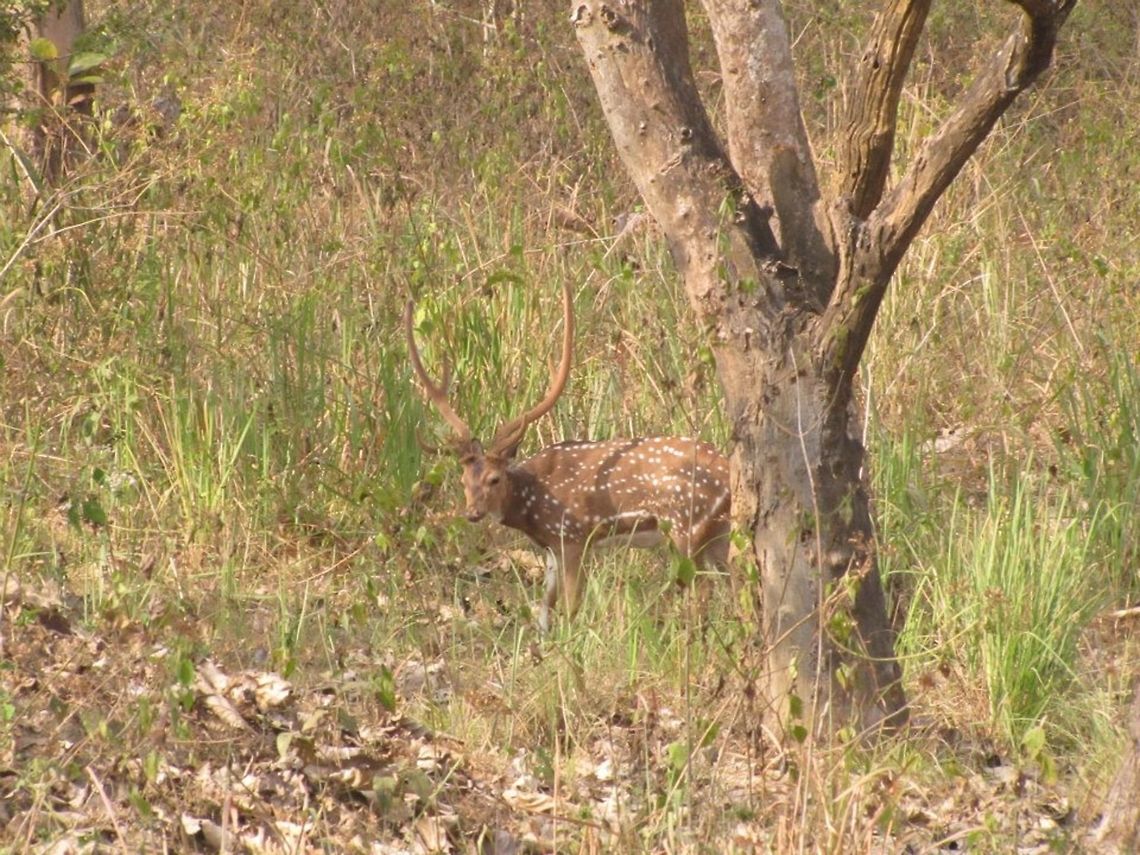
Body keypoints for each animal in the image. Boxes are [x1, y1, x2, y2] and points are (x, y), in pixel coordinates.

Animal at [405, 281, 730, 631]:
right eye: (464, 481)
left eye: (494, 478)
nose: (473, 513)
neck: (531, 506)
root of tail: (729, 474)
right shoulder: (550, 548)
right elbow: (545, 608)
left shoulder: (573, 535)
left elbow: (571, 606)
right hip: (716, 532)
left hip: (686, 524)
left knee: (703, 588)